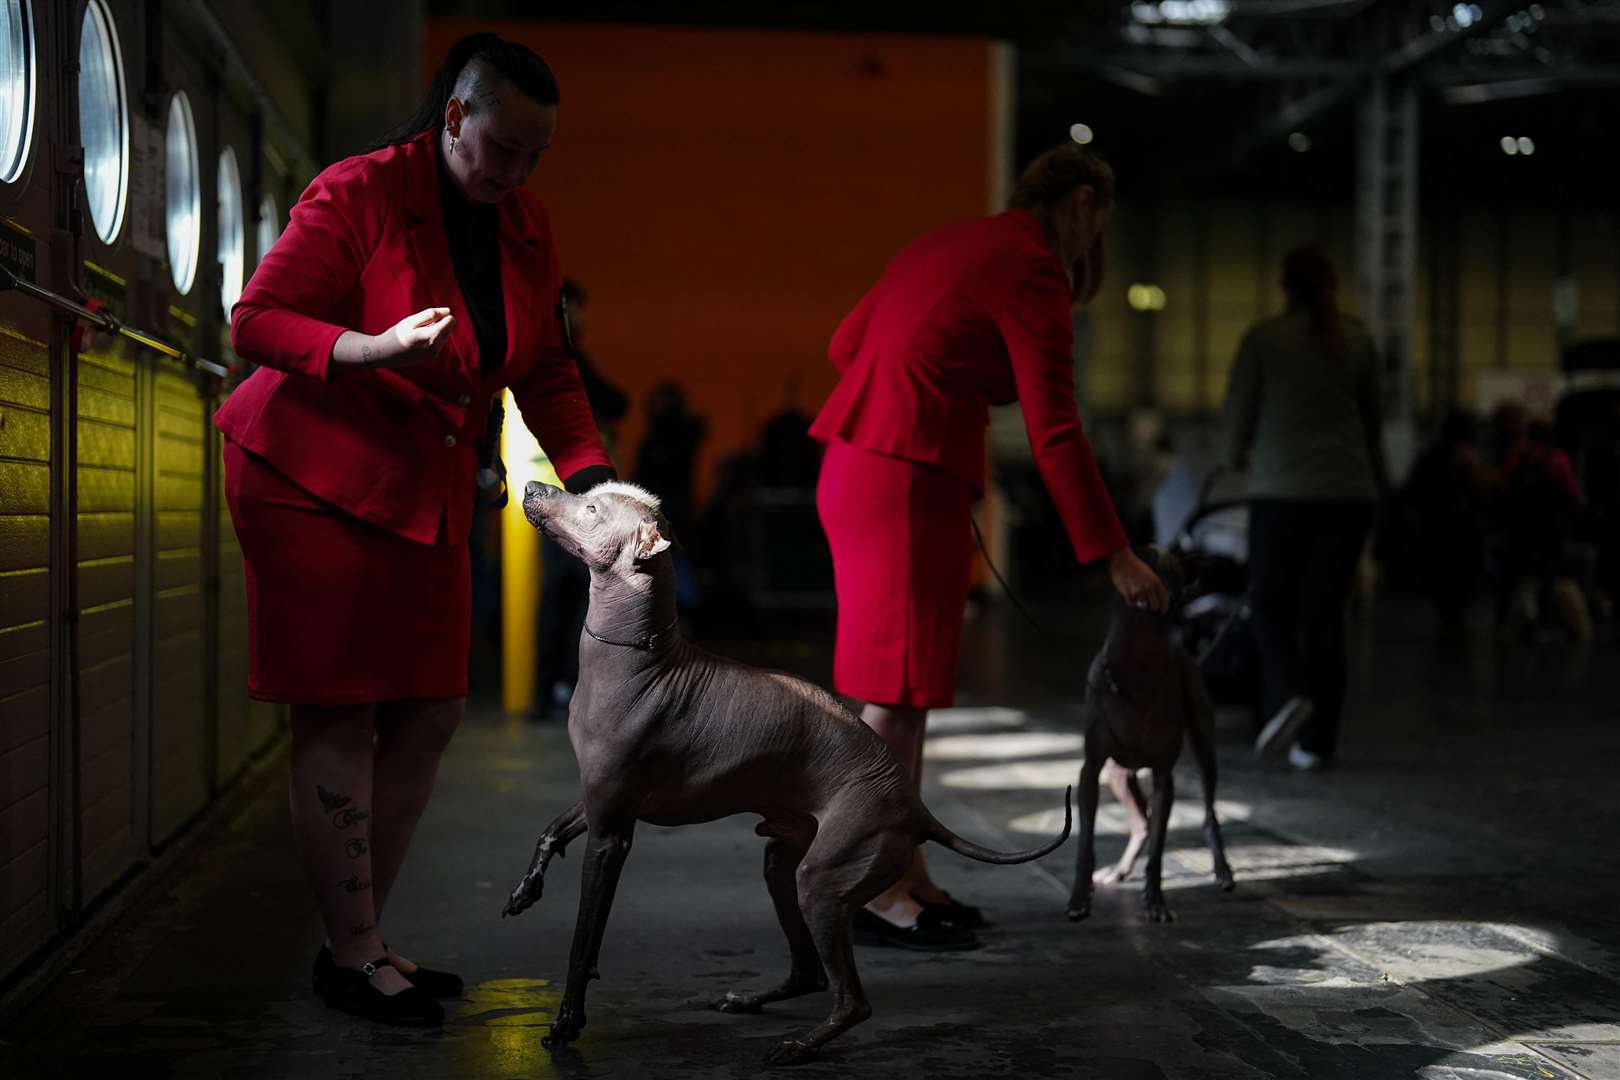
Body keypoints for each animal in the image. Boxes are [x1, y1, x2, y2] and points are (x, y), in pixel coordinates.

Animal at [498, 482, 1069, 1075]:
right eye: (587, 493)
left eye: (590, 509)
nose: (533, 487)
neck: (640, 661)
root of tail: (915, 808)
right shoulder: (600, 798)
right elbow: (550, 831)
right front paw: (524, 890)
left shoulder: (613, 833)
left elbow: (583, 941)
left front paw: (567, 1021)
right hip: (784, 863)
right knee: (810, 971)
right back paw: (754, 1000)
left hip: (822, 881)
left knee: (852, 999)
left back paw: (801, 1045)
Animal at [1069, 544, 1231, 926]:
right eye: (1171, 563)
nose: (1205, 563)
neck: (1137, 670)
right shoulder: (1090, 771)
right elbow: (1085, 840)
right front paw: (1080, 896)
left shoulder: (1163, 777)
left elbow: (1158, 848)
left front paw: (1155, 900)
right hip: (1117, 775)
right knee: (1141, 823)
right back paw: (1118, 871)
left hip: (1203, 746)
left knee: (1208, 813)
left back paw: (1223, 871)